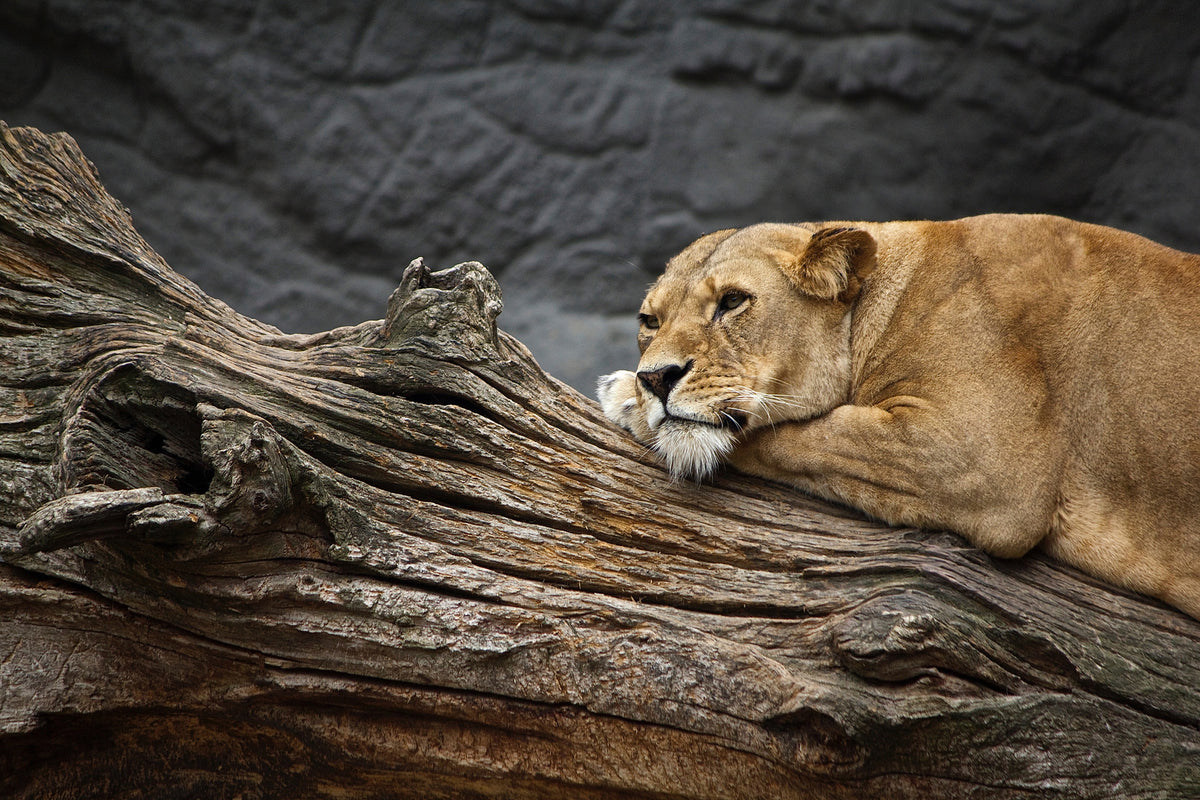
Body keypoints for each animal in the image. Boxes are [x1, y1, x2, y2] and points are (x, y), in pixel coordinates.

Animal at [598, 214, 1200, 619]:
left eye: (731, 302)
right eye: (649, 320)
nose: (655, 378)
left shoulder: (982, 458)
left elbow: (809, 432)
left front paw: (625, 398)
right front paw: (630, 390)